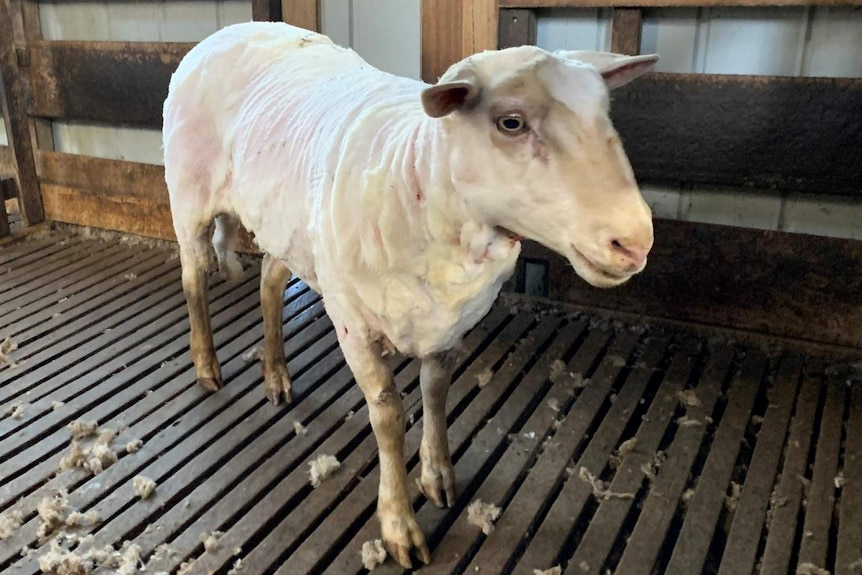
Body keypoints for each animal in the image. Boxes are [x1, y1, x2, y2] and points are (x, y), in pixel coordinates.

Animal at [164, 21, 660, 568]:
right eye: (511, 122)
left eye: (605, 114)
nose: (634, 241)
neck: (417, 176)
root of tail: (232, 29)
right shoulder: (353, 323)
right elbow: (388, 417)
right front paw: (399, 523)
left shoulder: (451, 321)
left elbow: (436, 392)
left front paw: (437, 475)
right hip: (189, 197)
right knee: (193, 279)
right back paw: (207, 367)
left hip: (290, 225)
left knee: (270, 282)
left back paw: (276, 375)